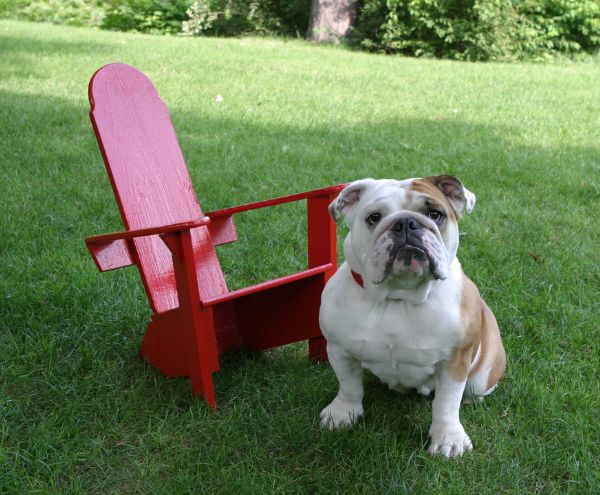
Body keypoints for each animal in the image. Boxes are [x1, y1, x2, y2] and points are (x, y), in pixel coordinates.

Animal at [318, 176, 506, 460]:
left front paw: (448, 438)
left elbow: (446, 402)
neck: (399, 297)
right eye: (374, 218)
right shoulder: (340, 349)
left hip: (482, 372)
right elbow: (349, 385)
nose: (405, 223)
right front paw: (343, 413)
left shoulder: (454, 361)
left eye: (435, 214)